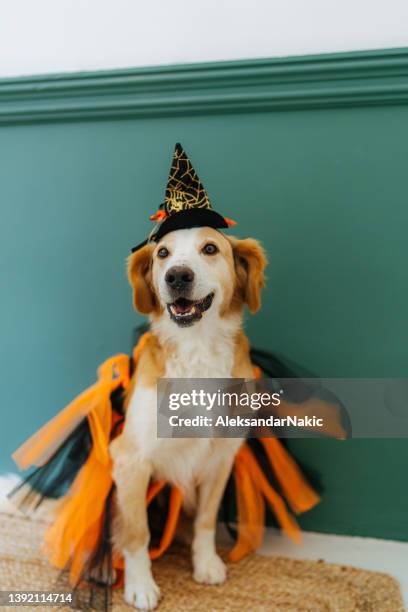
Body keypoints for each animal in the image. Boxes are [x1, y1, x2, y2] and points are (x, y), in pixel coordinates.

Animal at [110, 227, 266, 608]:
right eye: (163, 253)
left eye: (210, 248)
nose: (177, 276)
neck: (197, 347)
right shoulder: (131, 459)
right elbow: (137, 532)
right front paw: (140, 585)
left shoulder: (220, 459)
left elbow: (206, 520)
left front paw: (206, 563)